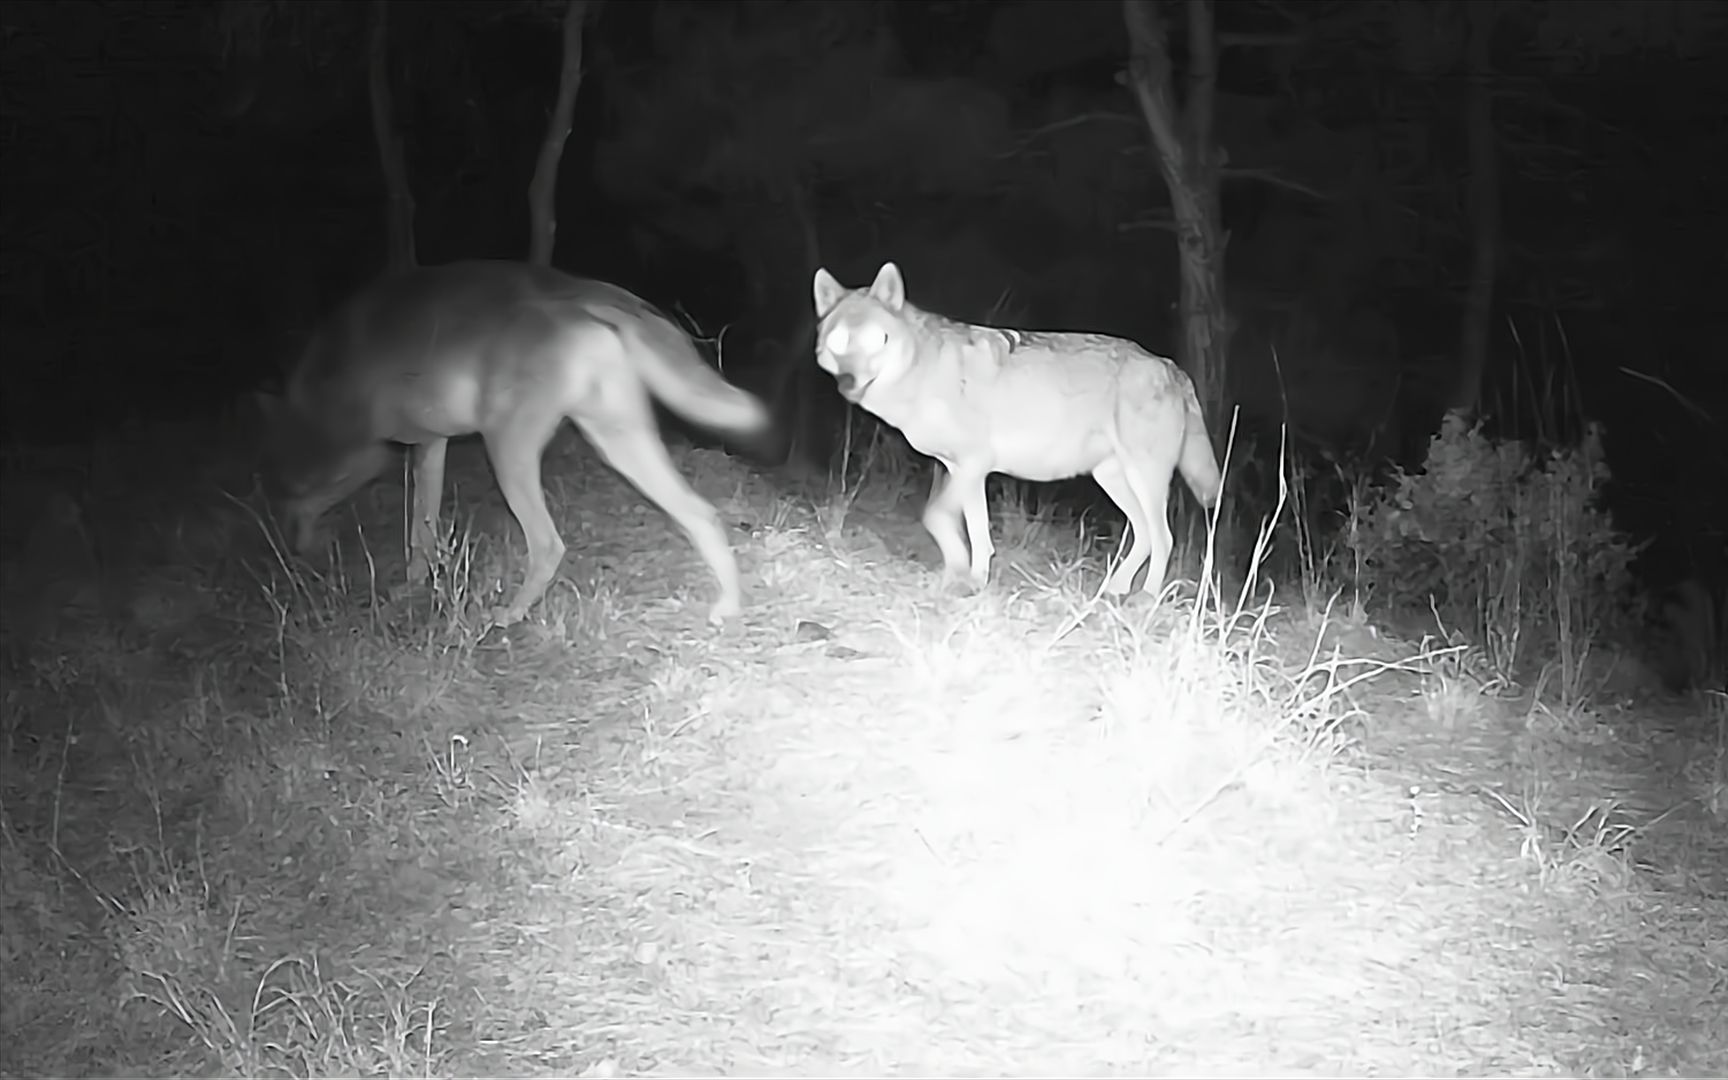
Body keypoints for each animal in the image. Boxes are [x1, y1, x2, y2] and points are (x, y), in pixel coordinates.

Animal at [255, 259, 770, 622]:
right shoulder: (431, 444)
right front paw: (413, 584)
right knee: (701, 513)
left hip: (507, 448)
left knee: (548, 543)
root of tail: (582, 294)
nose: (285, 544)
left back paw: (510, 613)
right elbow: (423, 528)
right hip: (618, 440)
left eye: (275, 479)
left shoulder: (381, 450)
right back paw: (728, 605)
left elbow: (368, 512)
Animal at [812, 260, 1230, 597]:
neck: (924, 368)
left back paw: (1147, 598)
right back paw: (1114, 590)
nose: (848, 381)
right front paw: (965, 575)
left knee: (1164, 538)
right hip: (1112, 479)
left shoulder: (974, 463)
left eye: (876, 339)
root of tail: (1170, 366)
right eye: (838, 341)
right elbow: (964, 527)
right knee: (1144, 536)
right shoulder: (958, 468)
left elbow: (947, 520)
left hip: (1144, 479)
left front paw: (966, 576)